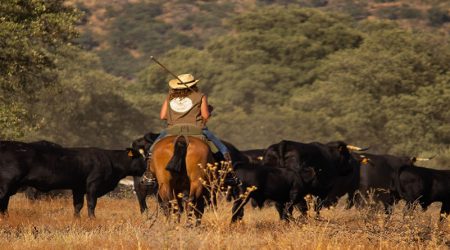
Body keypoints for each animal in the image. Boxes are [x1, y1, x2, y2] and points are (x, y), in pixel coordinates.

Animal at [0, 140, 145, 218]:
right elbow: (91, 203)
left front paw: (77, 219)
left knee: (4, 204)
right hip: (6, 184)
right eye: (140, 157)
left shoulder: (78, 187)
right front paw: (92, 219)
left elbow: (78, 205)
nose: (145, 169)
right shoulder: (93, 184)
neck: (110, 160)